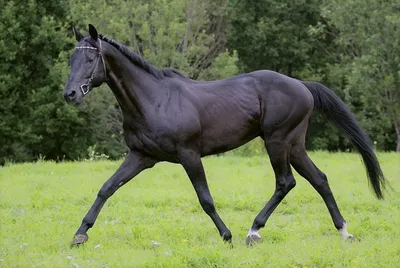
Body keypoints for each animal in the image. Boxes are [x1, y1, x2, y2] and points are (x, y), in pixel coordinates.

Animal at [61, 24, 384, 246]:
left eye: (90, 60)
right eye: (71, 60)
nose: (69, 94)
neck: (154, 100)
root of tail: (302, 85)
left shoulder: (189, 155)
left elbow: (205, 198)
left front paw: (226, 235)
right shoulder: (141, 156)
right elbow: (106, 188)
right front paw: (79, 234)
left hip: (277, 141)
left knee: (286, 182)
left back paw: (253, 231)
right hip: (294, 144)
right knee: (319, 179)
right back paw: (344, 231)